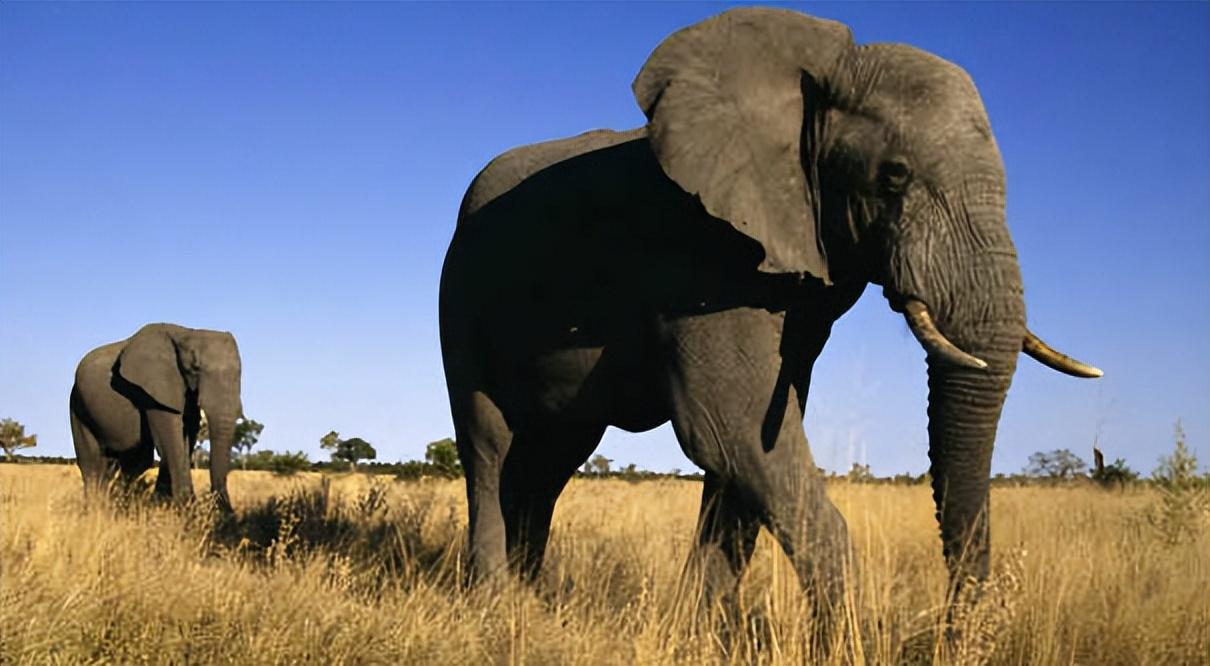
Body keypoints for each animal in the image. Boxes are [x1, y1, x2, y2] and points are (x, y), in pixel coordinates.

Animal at [70, 323, 243, 509]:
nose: (228, 512)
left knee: (135, 460)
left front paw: (170, 505)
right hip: (77, 406)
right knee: (91, 463)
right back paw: (95, 508)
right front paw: (183, 508)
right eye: (194, 368)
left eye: (240, 373)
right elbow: (171, 439)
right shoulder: (155, 388)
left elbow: (187, 437)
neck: (186, 333)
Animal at [439, 7, 1101, 624]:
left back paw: (530, 599)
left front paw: (695, 634)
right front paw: (847, 642)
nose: (948, 627)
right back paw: (494, 606)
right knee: (491, 446)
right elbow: (729, 430)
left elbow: (748, 448)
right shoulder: (701, 251)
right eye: (893, 176)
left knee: (553, 456)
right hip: (459, 298)